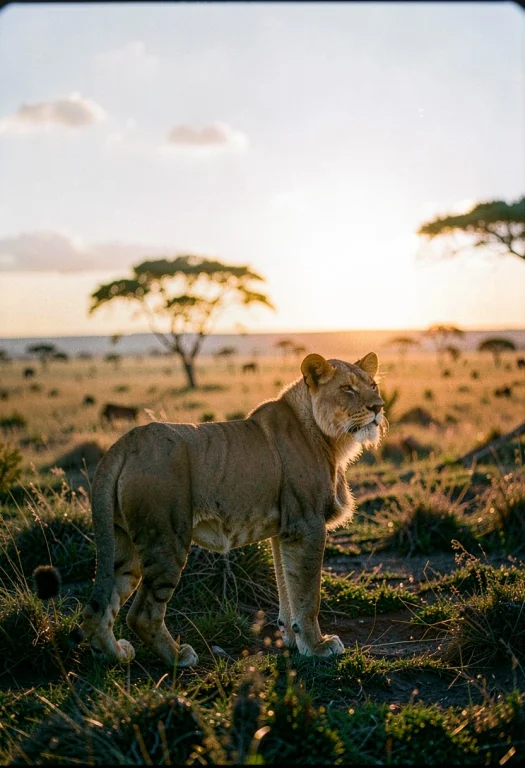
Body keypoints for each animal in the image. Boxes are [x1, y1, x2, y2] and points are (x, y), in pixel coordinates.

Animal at [77, 352, 385, 667]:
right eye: (347, 388)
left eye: (373, 385)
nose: (378, 407)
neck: (333, 442)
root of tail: (123, 444)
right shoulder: (306, 525)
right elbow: (308, 595)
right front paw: (317, 646)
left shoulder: (285, 532)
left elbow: (287, 587)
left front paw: (292, 638)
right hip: (166, 538)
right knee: (142, 614)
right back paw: (178, 657)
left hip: (123, 545)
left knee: (97, 611)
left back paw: (117, 655)